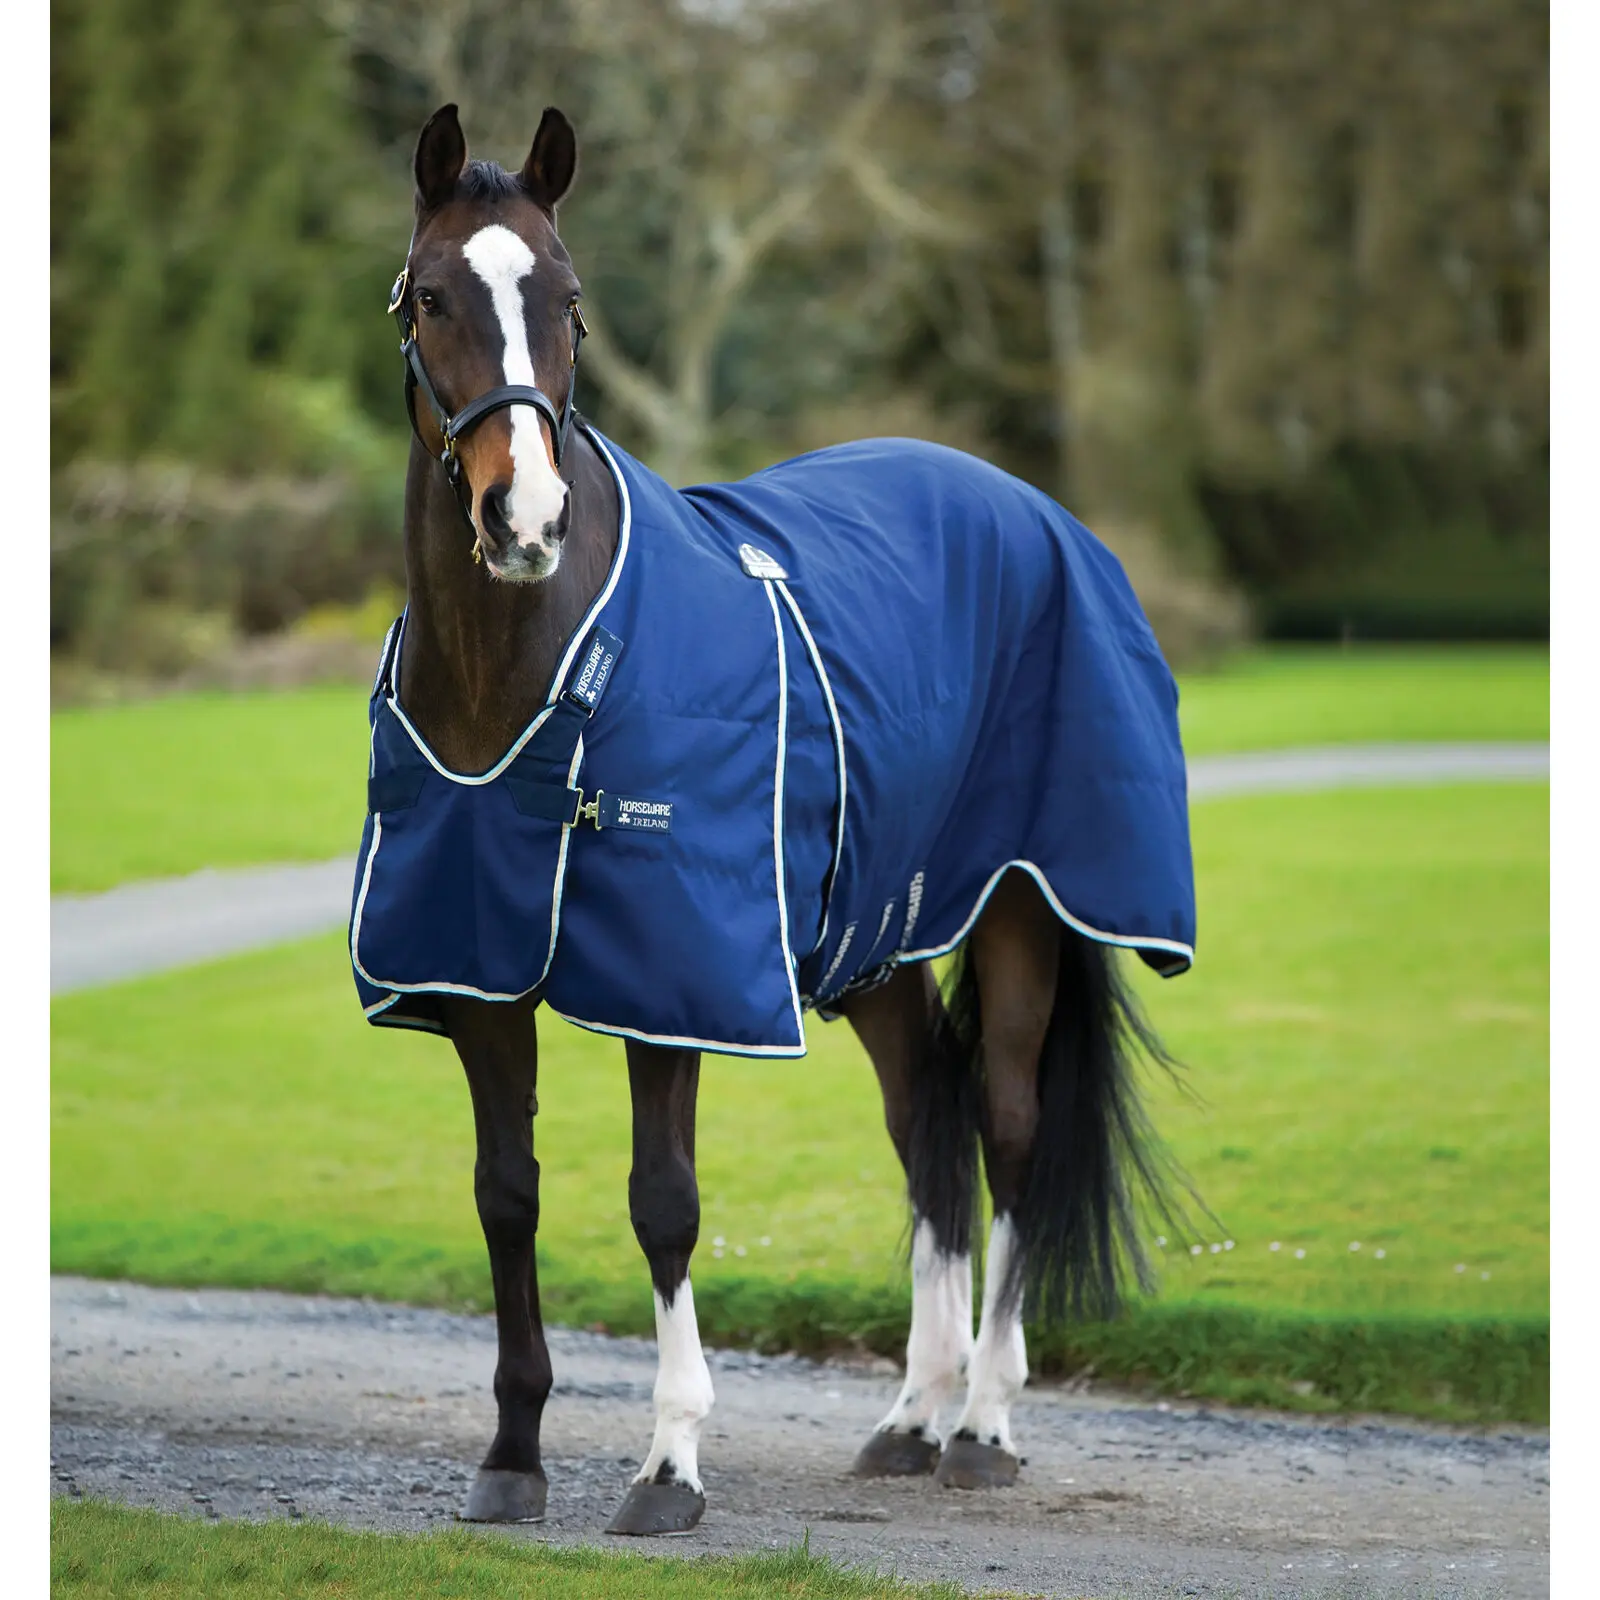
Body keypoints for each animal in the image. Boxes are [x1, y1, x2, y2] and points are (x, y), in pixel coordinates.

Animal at [349, 102, 1197, 1537]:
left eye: (570, 300)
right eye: (432, 296)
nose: (524, 518)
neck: (532, 664)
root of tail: (1040, 512)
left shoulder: (676, 978)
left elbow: (664, 1205)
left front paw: (670, 1466)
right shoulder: (478, 972)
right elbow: (506, 1196)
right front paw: (513, 1456)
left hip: (1022, 907)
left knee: (1008, 1126)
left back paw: (984, 1423)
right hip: (878, 938)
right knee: (928, 1127)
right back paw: (912, 1415)